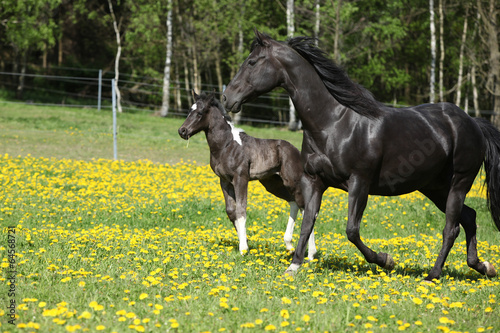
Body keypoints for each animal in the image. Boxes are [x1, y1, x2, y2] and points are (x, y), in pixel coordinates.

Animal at [178, 92, 314, 258]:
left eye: (200, 113)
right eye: (189, 110)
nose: (182, 131)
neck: (226, 145)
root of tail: (296, 151)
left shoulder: (240, 178)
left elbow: (241, 210)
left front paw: (243, 248)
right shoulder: (224, 181)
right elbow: (231, 212)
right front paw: (245, 242)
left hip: (292, 181)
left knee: (305, 207)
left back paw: (311, 254)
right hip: (272, 183)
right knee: (294, 203)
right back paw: (289, 245)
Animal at [224, 30, 500, 280]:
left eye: (252, 62)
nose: (227, 98)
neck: (333, 122)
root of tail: (473, 123)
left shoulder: (359, 183)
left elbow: (351, 230)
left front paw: (386, 260)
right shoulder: (313, 181)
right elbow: (307, 223)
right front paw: (294, 266)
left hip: (458, 184)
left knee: (451, 229)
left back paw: (433, 275)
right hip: (435, 188)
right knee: (470, 217)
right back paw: (484, 267)